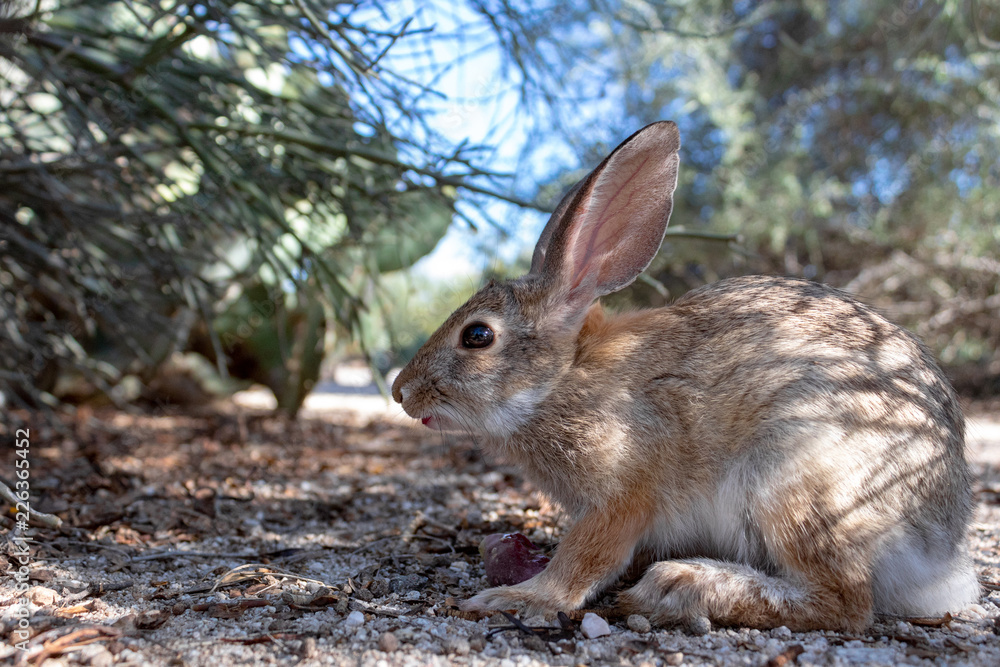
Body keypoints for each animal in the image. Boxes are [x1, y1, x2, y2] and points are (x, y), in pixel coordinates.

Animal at [390, 121, 979, 632]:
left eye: (477, 336)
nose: (400, 391)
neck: (561, 378)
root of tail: (939, 547)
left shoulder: (623, 492)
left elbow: (586, 556)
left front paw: (518, 597)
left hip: (793, 478)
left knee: (843, 602)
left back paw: (679, 588)